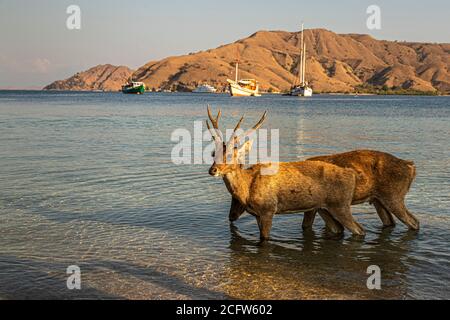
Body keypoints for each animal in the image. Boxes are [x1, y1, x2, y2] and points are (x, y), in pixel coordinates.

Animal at [207, 106, 366, 241]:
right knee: (339, 228)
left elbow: (265, 238)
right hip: (324, 207)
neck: (247, 189)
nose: (212, 170)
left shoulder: (268, 209)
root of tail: (352, 174)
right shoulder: (257, 214)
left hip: (341, 204)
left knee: (360, 230)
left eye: (230, 156)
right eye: (214, 154)